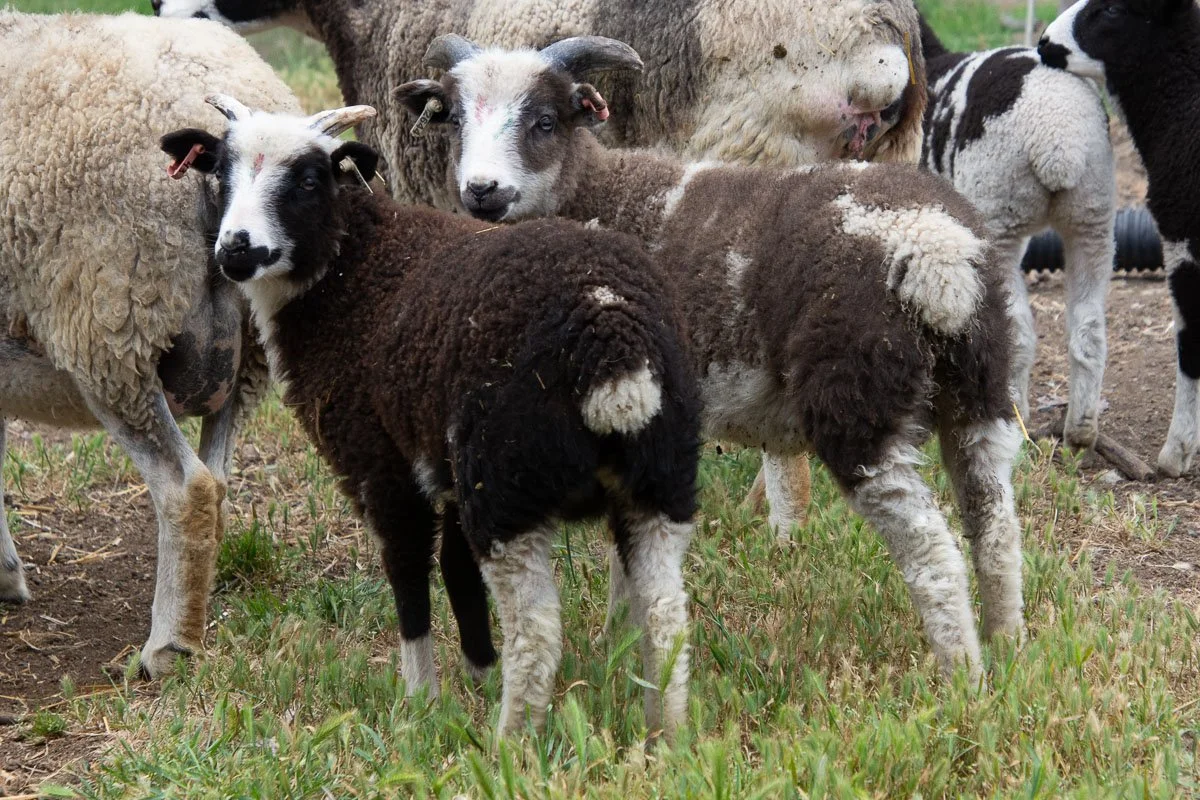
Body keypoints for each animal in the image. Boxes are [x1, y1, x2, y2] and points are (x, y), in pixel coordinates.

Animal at [159, 96, 703, 737]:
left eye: (310, 179)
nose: (236, 249)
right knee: (666, 615)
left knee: (537, 629)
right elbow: (457, 571)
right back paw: (665, 735)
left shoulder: (381, 461)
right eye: (220, 171)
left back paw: (511, 743)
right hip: (659, 476)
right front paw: (478, 672)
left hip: (505, 478)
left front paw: (420, 701)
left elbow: (409, 572)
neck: (348, 271)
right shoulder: (444, 466)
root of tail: (611, 336)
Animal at [396, 36, 1027, 681]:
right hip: (980, 388)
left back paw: (963, 676)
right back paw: (1007, 648)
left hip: (858, 398)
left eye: (545, 121)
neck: (599, 197)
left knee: (931, 549)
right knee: (995, 527)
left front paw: (619, 641)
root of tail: (935, 252)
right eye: (453, 119)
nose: (483, 191)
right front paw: (623, 640)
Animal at [919, 16, 1115, 449]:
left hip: (998, 217)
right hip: (1093, 216)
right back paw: (1081, 431)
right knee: (1089, 327)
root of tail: (1059, 140)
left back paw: (1014, 414)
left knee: (1017, 330)